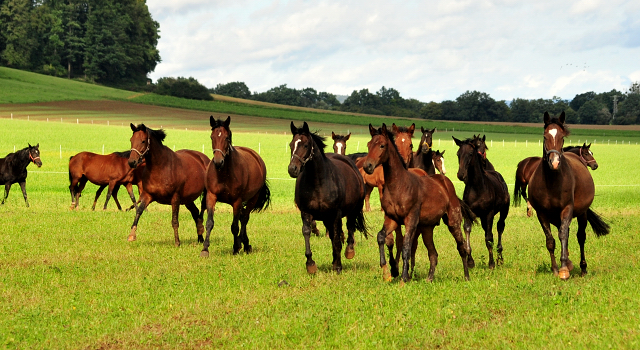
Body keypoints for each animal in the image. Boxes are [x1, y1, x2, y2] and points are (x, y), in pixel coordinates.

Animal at [200, 117, 270, 258]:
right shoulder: (211, 196)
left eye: (227, 138)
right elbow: (209, 222)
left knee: (244, 219)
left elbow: (235, 226)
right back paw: (245, 243)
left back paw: (244, 244)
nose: (218, 162)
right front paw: (205, 249)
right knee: (243, 217)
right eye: (212, 137)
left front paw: (236, 247)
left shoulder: (236, 201)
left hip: (252, 199)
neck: (224, 173)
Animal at [288, 121, 368, 274]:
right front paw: (310, 264)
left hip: (353, 209)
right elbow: (307, 232)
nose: (292, 169)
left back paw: (349, 251)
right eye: (291, 145)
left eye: (305, 145)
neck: (318, 182)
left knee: (350, 227)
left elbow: (337, 238)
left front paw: (338, 267)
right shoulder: (306, 212)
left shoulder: (335, 214)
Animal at [362, 123, 472, 282]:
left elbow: (406, 247)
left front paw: (403, 278)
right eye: (369, 144)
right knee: (433, 254)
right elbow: (382, 237)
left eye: (382, 145)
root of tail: (446, 183)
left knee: (461, 247)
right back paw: (429, 278)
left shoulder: (411, 220)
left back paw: (467, 276)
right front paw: (387, 272)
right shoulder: (392, 219)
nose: (368, 166)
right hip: (427, 229)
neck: (399, 185)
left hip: (453, 221)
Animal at [452, 135, 512, 270]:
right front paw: (470, 261)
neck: (477, 187)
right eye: (458, 154)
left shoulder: (489, 214)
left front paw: (491, 263)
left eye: (470, 153)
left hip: (503, 211)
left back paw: (500, 257)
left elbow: (489, 238)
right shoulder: (468, 214)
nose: (461, 174)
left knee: (500, 227)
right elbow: (467, 231)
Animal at [528, 113, 612, 280]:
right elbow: (550, 240)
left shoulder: (567, 209)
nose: (554, 162)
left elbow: (563, 235)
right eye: (545, 136)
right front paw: (556, 268)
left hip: (582, 214)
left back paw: (582, 267)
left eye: (562, 137)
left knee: (580, 236)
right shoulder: (542, 213)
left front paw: (564, 269)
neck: (552, 180)